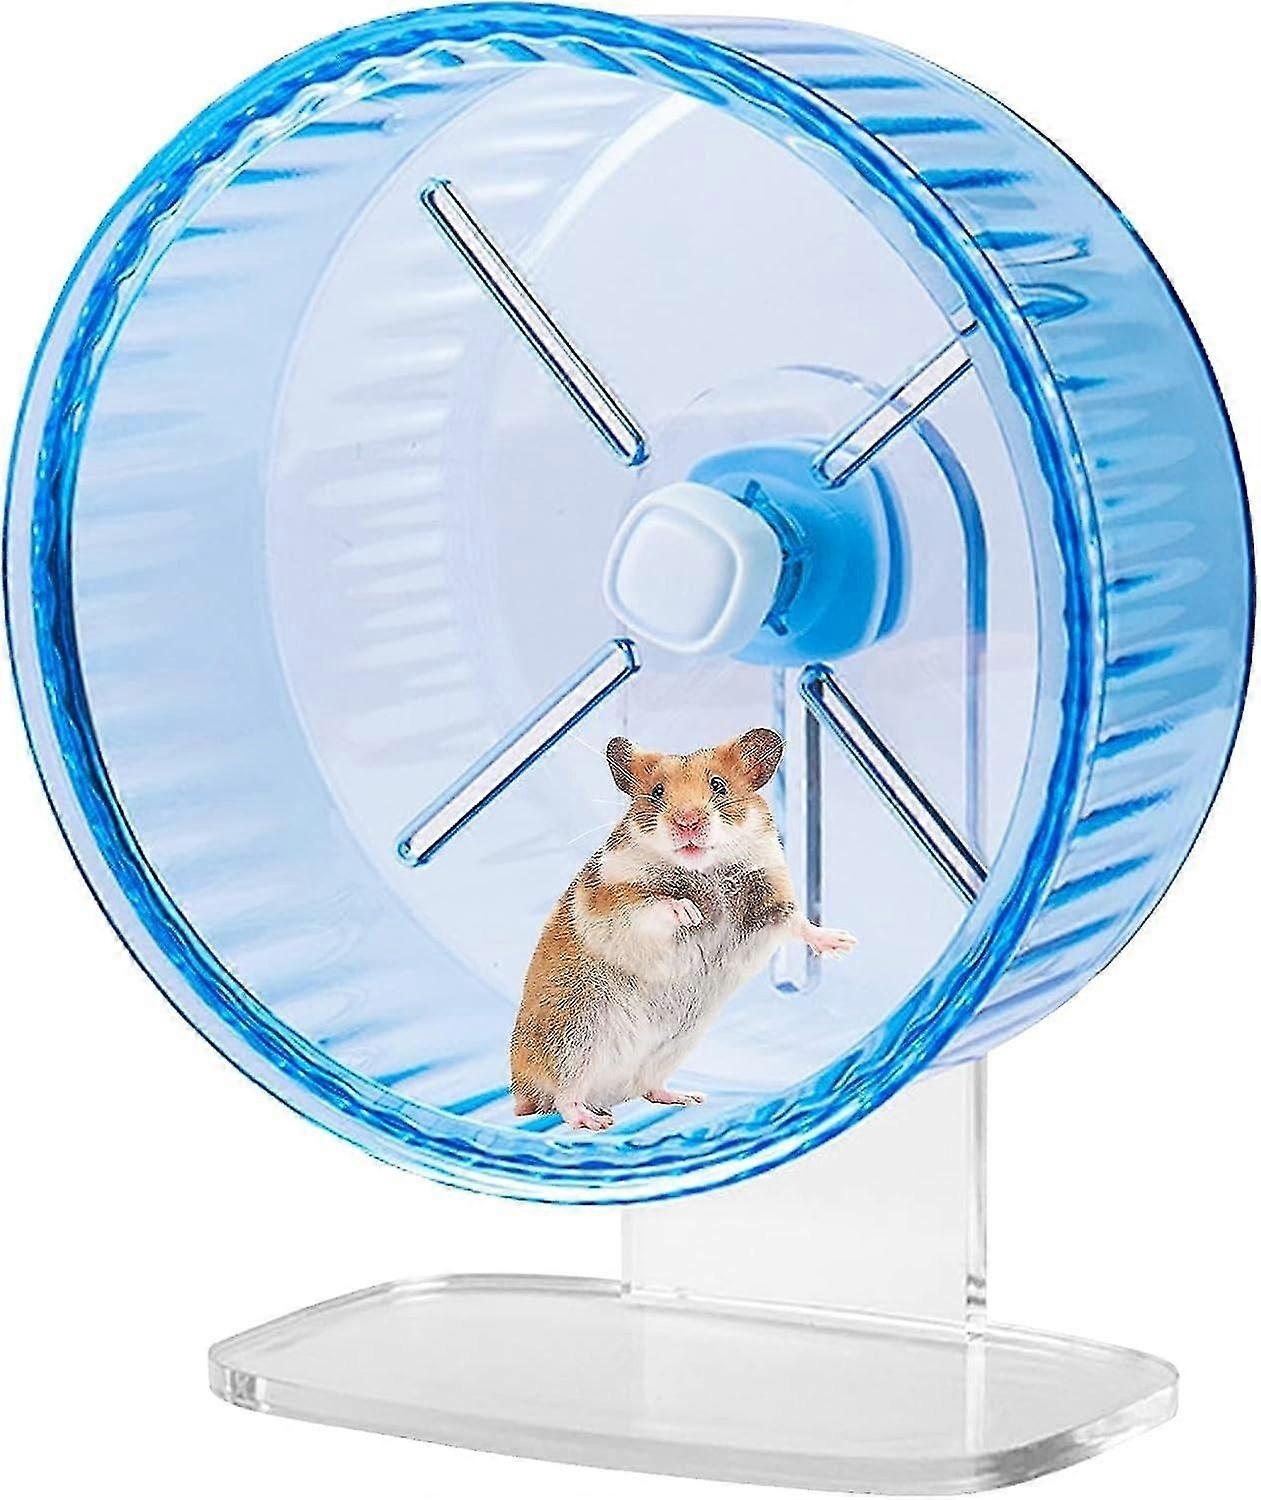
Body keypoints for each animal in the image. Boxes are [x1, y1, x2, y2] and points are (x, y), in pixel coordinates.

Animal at [510, 727, 856, 1130]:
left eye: (718, 785)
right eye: (658, 791)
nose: (687, 821)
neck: (704, 868)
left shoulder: (770, 896)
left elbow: (797, 923)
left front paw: (844, 943)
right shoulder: (611, 896)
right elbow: (653, 904)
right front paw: (690, 913)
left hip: (671, 1047)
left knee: (647, 1089)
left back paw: (688, 1097)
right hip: (572, 1037)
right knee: (563, 1097)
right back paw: (595, 1121)